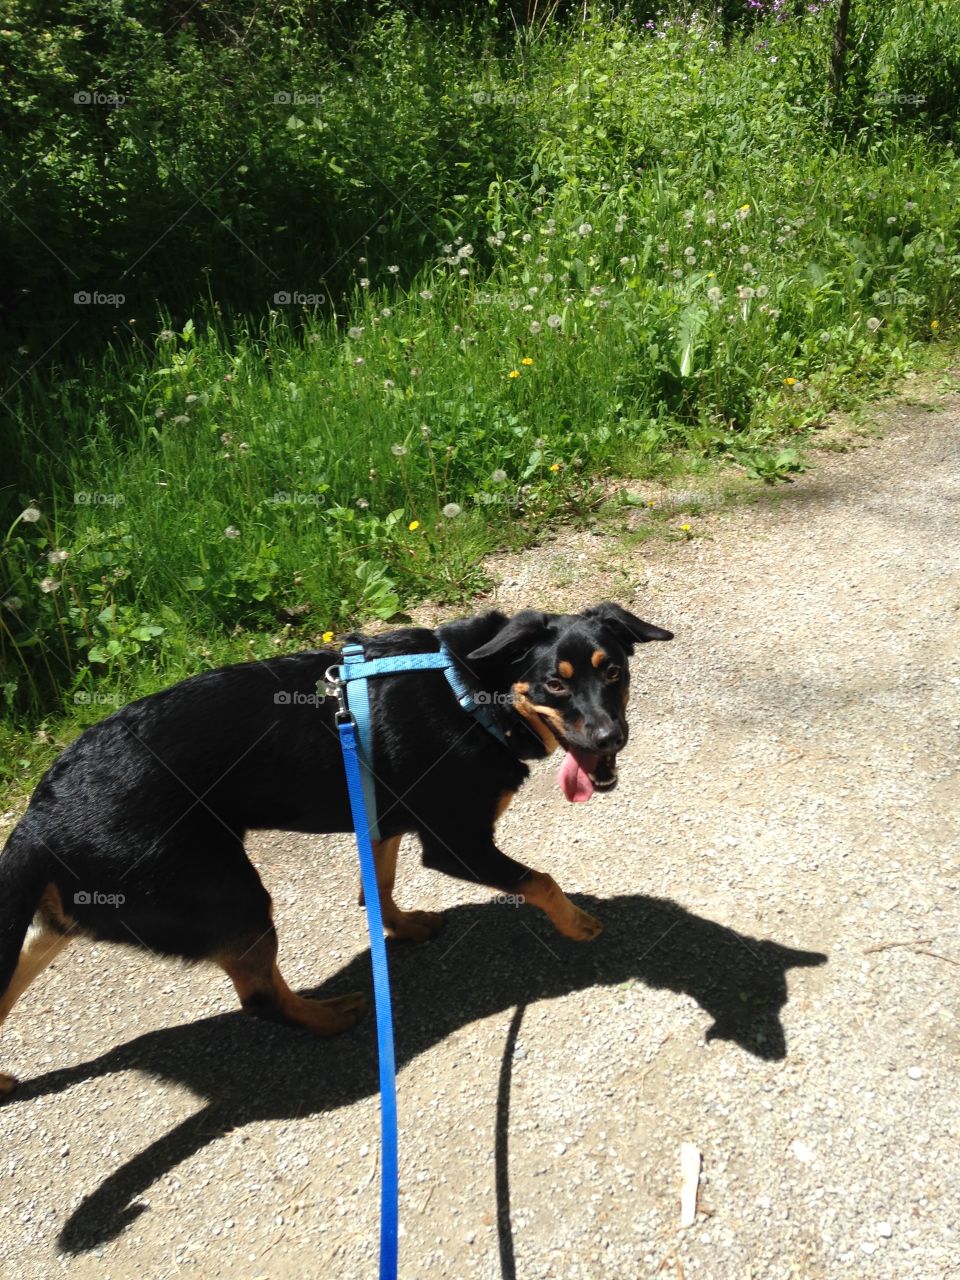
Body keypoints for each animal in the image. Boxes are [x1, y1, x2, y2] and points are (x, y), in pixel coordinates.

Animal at [0, 599, 670, 1090]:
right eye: (555, 685)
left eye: (614, 672)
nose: (611, 738)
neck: (469, 687)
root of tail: (38, 814)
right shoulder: (455, 844)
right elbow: (541, 880)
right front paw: (577, 923)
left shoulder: (382, 818)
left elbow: (380, 883)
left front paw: (400, 926)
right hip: (231, 895)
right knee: (260, 996)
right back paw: (327, 1017)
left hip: (63, 920)